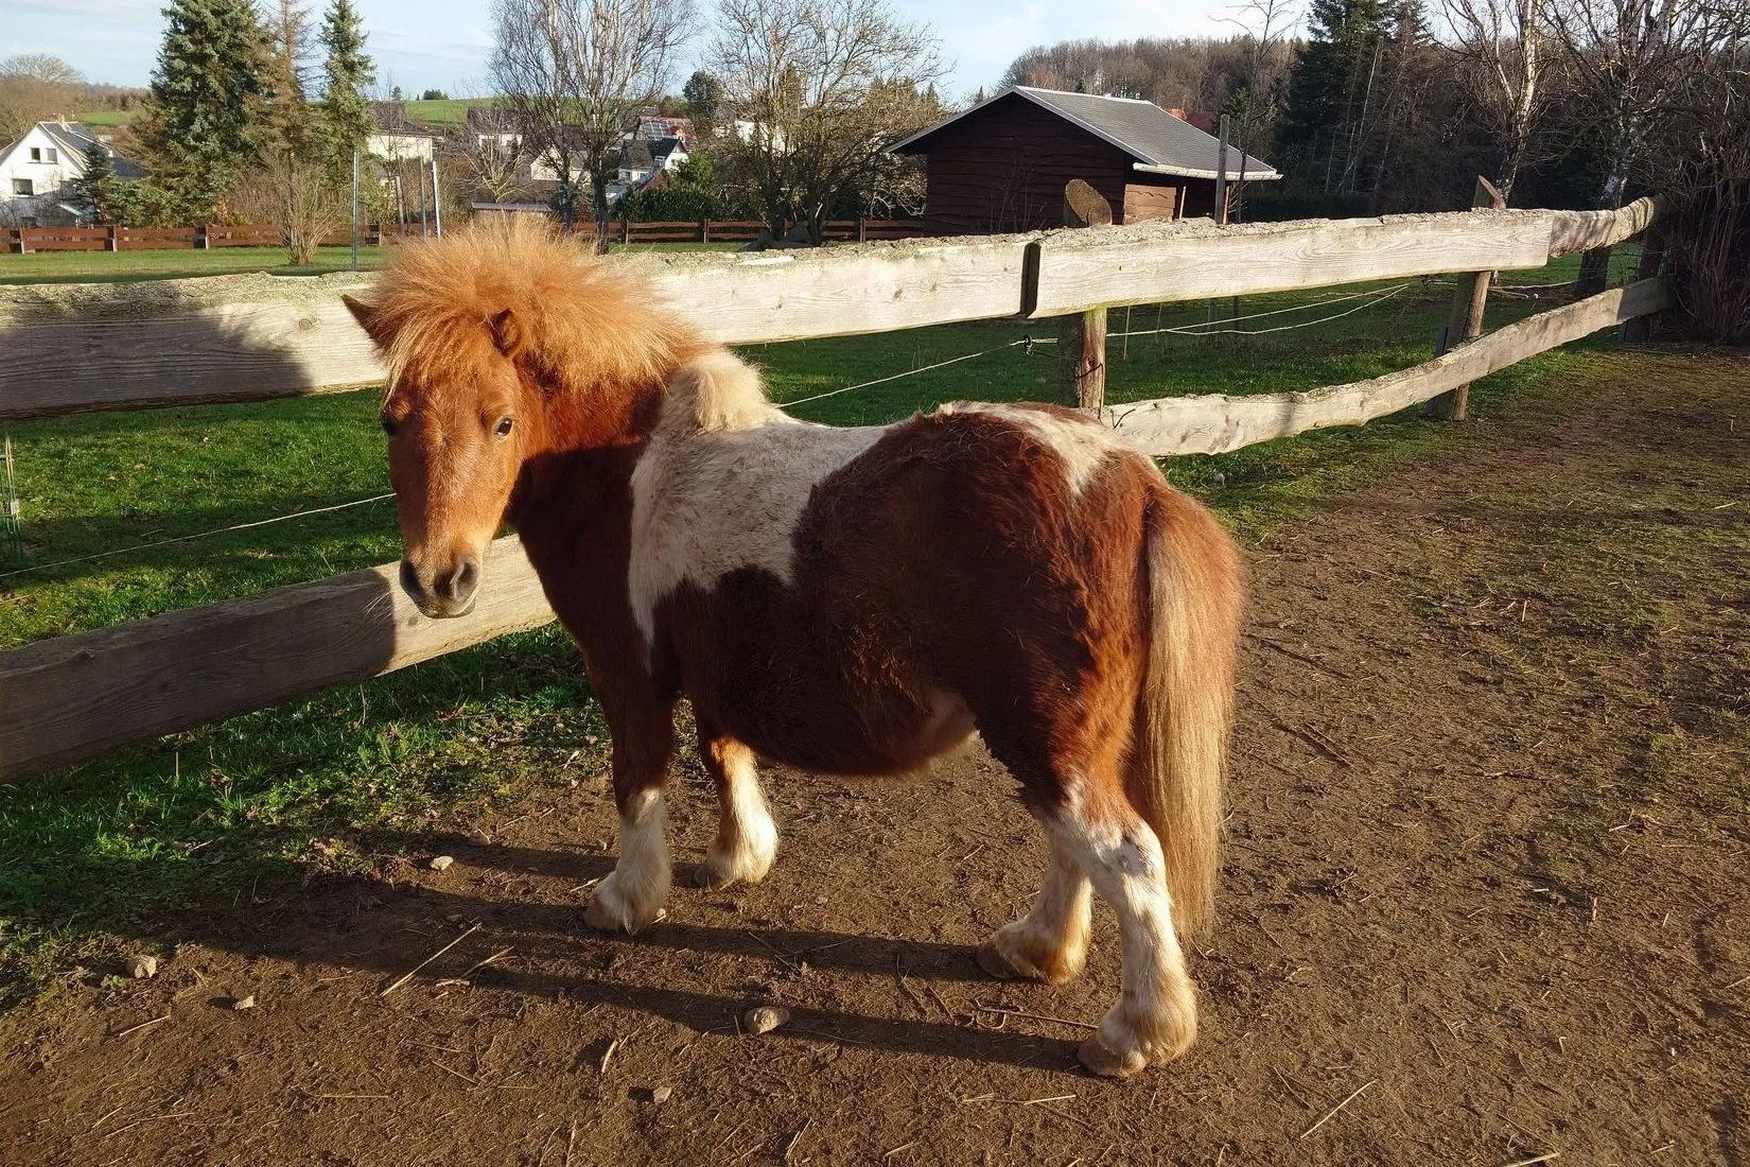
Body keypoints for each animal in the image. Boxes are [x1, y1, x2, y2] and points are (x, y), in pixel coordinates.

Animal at [341, 218, 1246, 1077]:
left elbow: (638, 779)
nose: (439, 578)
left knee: (1126, 855)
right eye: (390, 421)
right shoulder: (715, 661)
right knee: (1071, 844)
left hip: (1047, 733)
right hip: (1056, 737)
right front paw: (736, 858)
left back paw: (1136, 1033)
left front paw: (625, 899)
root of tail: (1135, 478)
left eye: (501, 420)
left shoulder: (626, 668)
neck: (628, 466)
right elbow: (723, 752)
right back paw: (1035, 948)